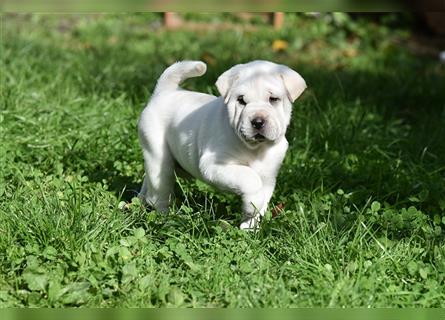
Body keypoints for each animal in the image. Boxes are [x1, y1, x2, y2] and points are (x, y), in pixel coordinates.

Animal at [139, 60, 306, 230]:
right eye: (241, 100)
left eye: (273, 99)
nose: (258, 122)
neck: (255, 148)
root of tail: (164, 91)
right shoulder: (213, 164)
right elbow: (251, 179)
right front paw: (251, 206)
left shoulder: (268, 176)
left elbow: (261, 197)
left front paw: (249, 229)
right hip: (159, 158)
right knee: (159, 192)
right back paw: (164, 218)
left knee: (148, 183)